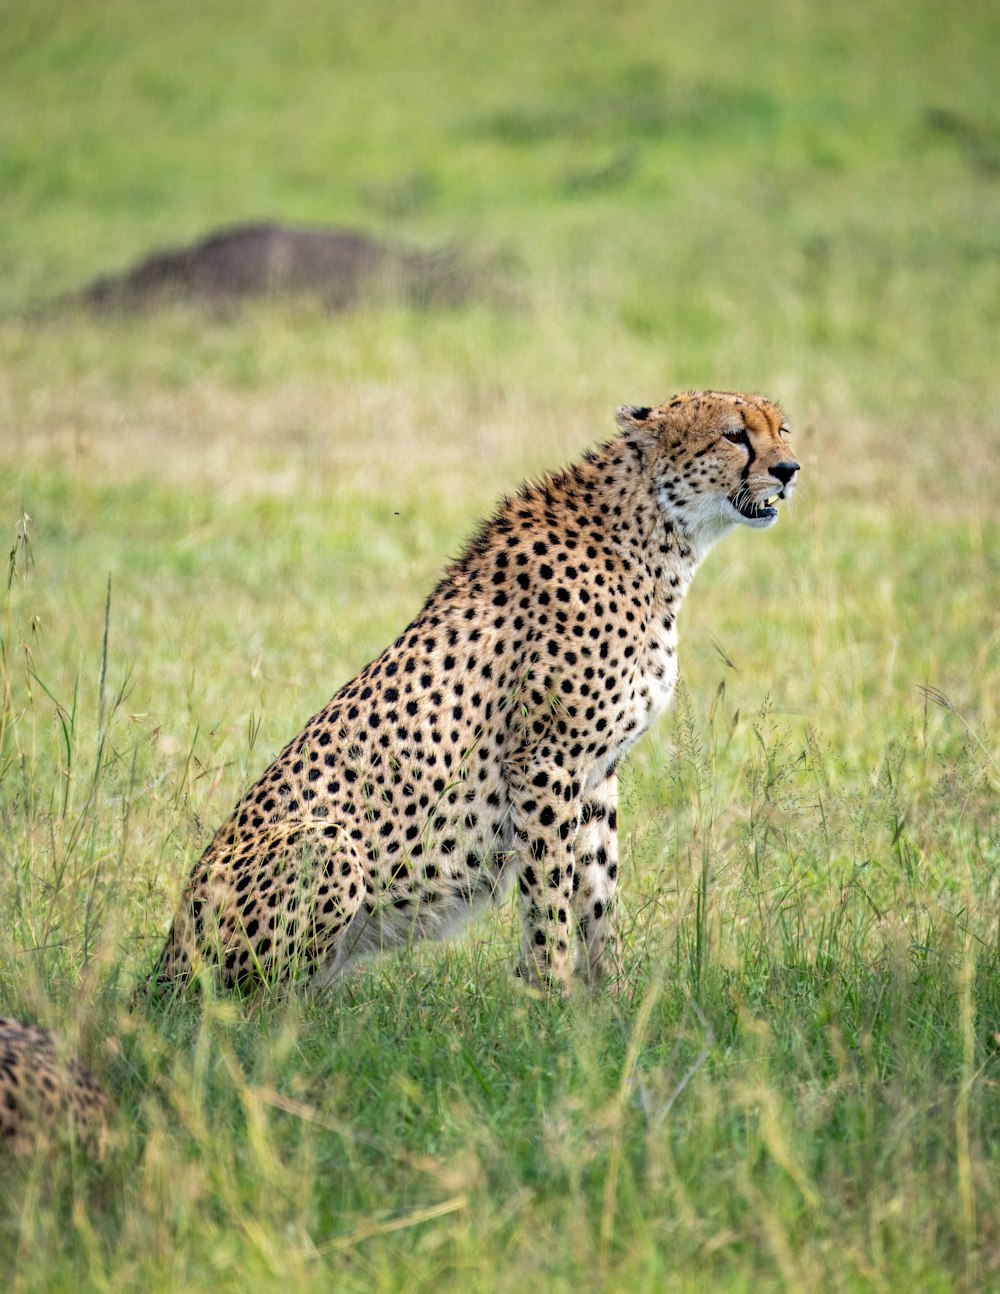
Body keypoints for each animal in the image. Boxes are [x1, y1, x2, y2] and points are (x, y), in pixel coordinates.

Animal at [152, 388, 802, 993]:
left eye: (783, 429)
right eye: (734, 435)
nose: (789, 470)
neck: (655, 537)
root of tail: (161, 967)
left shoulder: (596, 776)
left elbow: (598, 893)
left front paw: (612, 998)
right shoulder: (545, 762)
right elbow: (549, 896)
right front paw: (551, 998)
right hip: (326, 845)